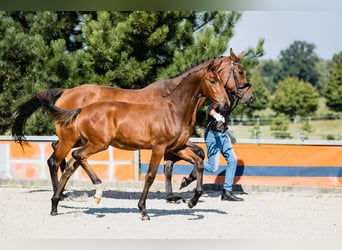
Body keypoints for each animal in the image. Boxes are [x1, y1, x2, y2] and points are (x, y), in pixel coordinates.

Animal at [32, 61, 230, 220]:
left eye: (223, 81)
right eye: (212, 81)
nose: (226, 103)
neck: (174, 110)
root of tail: (81, 110)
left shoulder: (177, 147)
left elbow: (199, 162)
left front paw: (192, 201)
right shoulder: (159, 148)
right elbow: (150, 176)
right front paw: (143, 211)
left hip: (88, 142)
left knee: (71, 164)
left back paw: (55, 205)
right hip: (97, 143)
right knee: (73, 157)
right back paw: (95, 190)